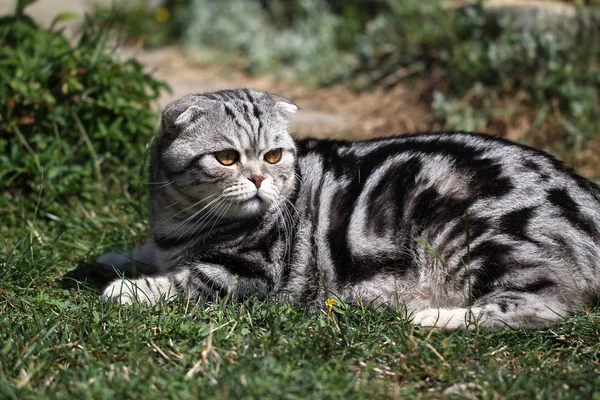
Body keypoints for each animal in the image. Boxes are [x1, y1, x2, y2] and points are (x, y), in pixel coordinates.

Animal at [101, 90, 600, 332]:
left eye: (273, 156)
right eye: (226, 158)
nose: (260, 180)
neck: (181, 223)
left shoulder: (251, 273)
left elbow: (183, 281)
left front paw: (126, 289)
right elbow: (143, 252)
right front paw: (111, 258)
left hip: (480, 235)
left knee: (544, 304)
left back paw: (431, 317)